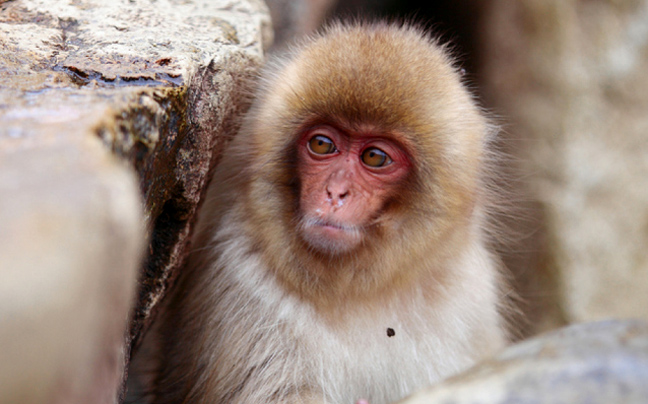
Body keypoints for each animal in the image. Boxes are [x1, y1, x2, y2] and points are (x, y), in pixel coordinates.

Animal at [140, 21, 506, 404]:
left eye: (375, 157)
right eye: (322, 144)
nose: (335, 192)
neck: (356, 291)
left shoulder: (472, 291)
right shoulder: (239, 278)